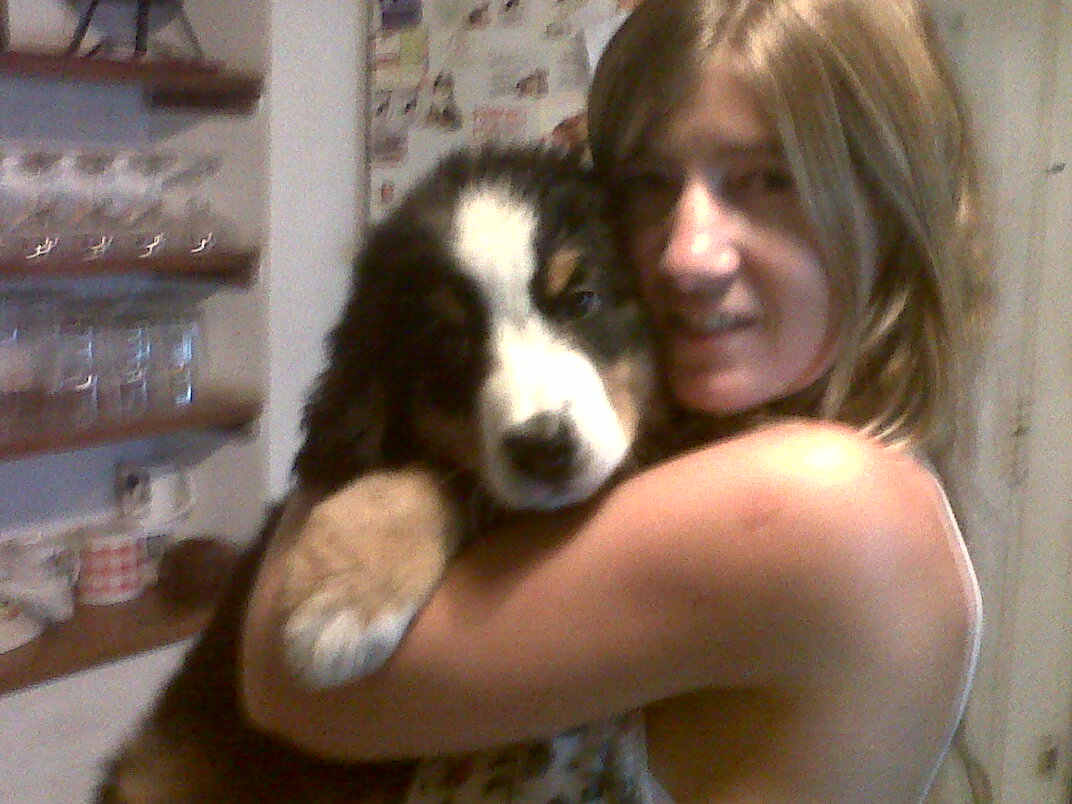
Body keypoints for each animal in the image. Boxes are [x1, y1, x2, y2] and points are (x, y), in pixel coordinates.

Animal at [97, 145, 666, 803]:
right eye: (450, 343)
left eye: (581, 300)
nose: (543, 447)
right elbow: (423, 473)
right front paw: (344, 602)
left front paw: (345, 602)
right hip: (152, 768)